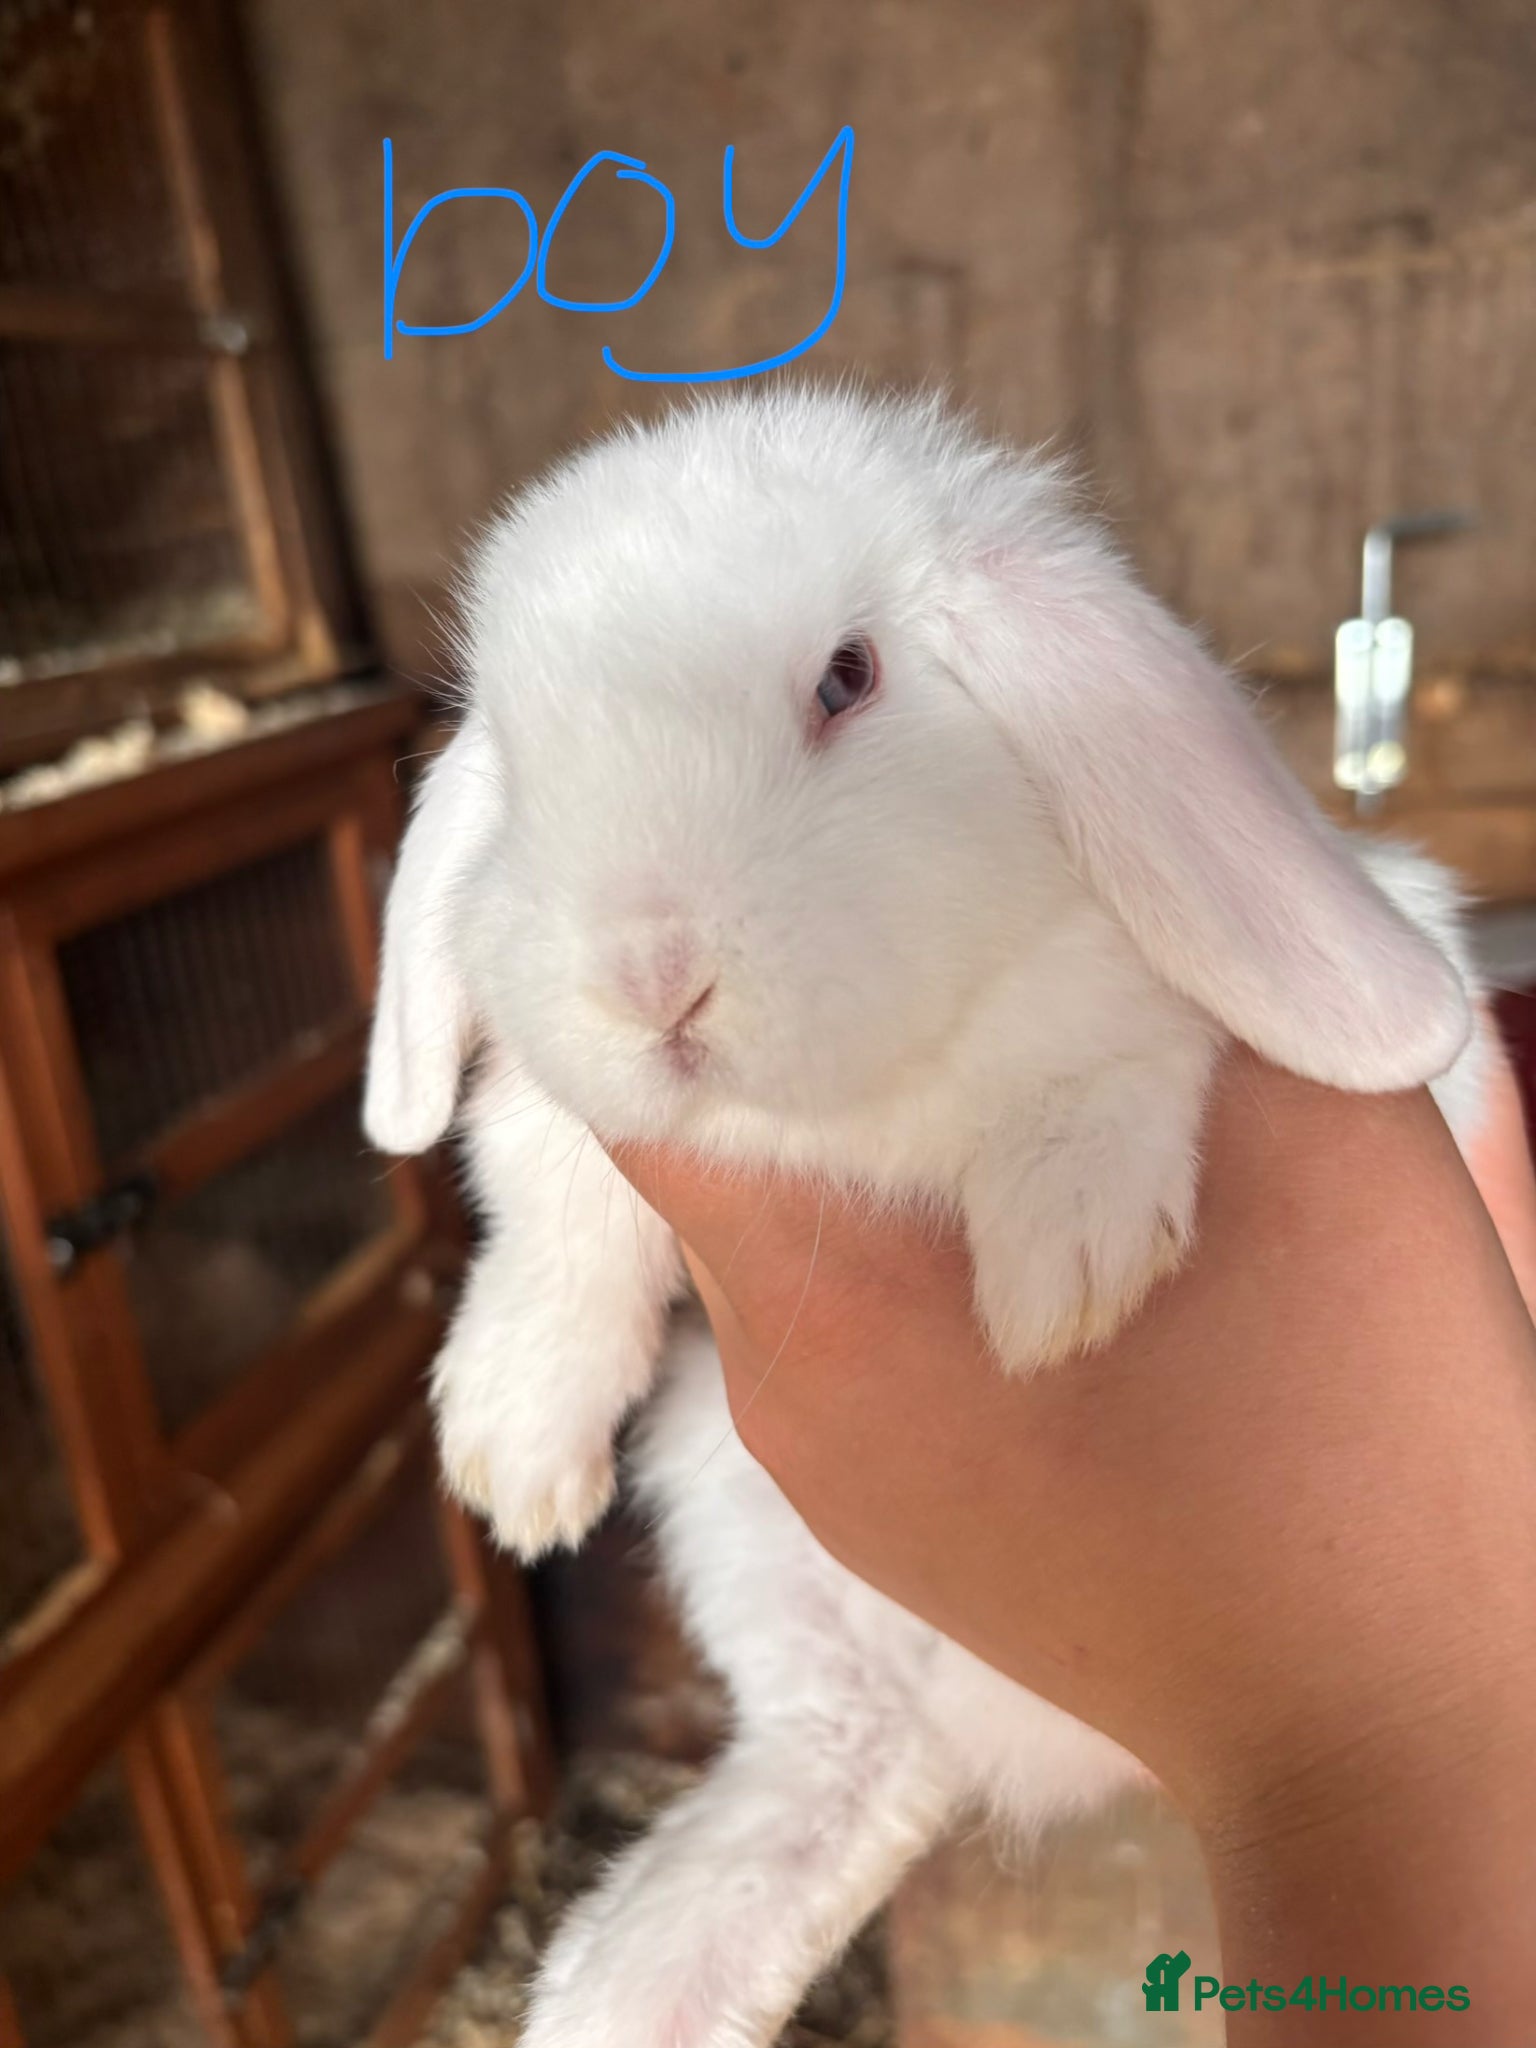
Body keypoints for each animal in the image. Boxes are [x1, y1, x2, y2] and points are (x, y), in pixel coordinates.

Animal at [364, 384, 1492, 2048]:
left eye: (849, 680)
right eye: (517, 755)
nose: (647, 977)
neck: (853, 1099)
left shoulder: (1129, 1002)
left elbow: (1119, 1038)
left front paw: (1061, 1268)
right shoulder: (563, 1122)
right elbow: (551, 1198)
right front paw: (515, 1451)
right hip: (733, 1507)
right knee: (846, 1768)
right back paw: (623, 1993)